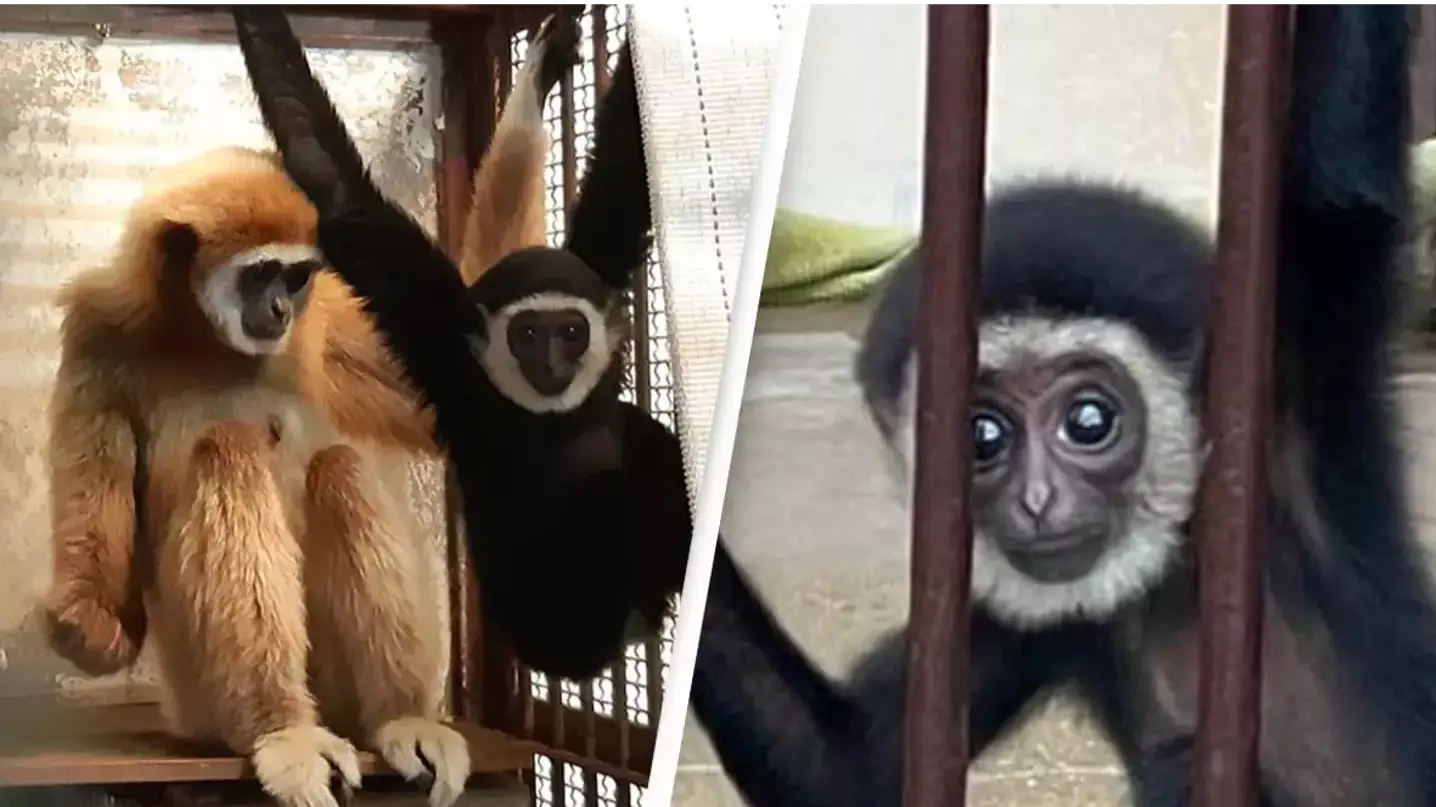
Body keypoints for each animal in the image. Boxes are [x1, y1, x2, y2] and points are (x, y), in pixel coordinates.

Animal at [40, 147, 470, 807]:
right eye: (260, 273)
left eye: (295, 278)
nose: (280, 308)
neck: (200, 333)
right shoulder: (97, 332)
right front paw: (87, 624)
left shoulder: (328, 314)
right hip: (193, 698)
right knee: (226, 452)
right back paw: (283, 729)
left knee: (340, 466)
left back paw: (402, 718)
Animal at [229, 0, 692, 683]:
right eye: (527, 334)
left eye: (570, 331)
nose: (551, 358)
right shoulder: (445, 346)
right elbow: (337, 188)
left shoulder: (594, 277)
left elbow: (624, 172)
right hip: (566, 625)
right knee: (614, 496)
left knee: (642, 443)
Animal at [689, 4, 1436, 806]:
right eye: (983, 437)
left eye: (1088, 422)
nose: (1038, 497)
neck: (1183, 554)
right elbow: (847, 770)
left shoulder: (1287, 382)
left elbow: (1341, 184)